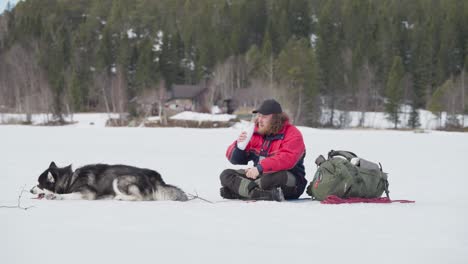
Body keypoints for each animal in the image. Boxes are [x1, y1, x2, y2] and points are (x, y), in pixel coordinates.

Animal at [30, 161, 188, 202]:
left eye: (38, 184)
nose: (30, 190)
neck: (69, 180)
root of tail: (154, 176)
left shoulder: (87, 193)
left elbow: (67, 195)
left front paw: (54, 196)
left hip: (119, 179)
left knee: (140, 198)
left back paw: (120, 198)